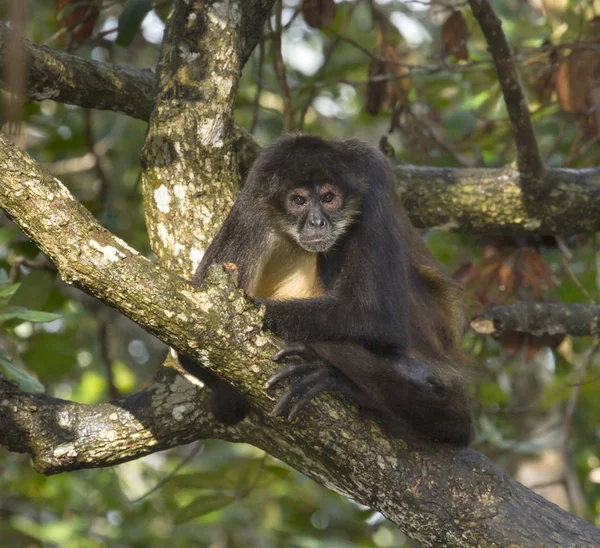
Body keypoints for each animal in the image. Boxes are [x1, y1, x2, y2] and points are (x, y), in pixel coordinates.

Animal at [178, 134, 474, 446]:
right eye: (298, 201)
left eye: (329, 198)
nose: (317, 222)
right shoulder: (258, 186)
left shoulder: (373, 174)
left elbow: (379, 319)